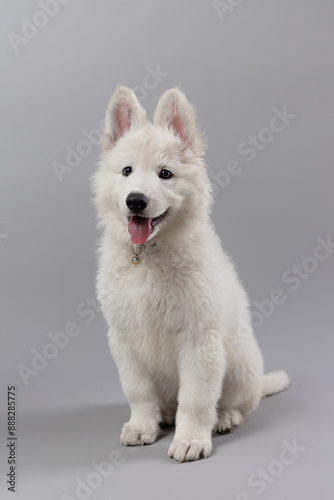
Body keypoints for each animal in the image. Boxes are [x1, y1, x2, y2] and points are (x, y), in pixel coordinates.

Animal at [92, 87, 290, 464]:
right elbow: (138, 390)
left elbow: (197, 398)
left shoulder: (199, 339)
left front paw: (191, 440)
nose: (135, 200)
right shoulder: (123, 337)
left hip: (239, 362)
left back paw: (224, 418)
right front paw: (142, 425)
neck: (148, 255)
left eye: (165, 174)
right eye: (126, 171)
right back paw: (164, 415)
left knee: (236, 402)